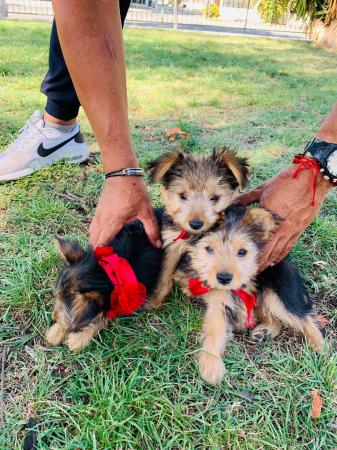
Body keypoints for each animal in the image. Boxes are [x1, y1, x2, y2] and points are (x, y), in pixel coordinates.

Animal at [45, 211, 163, 352]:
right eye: (56, 297)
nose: (53, 317)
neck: (106, 272)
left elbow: (103, 315)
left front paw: (78, 338)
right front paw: (57, 331)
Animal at [146, 149, 248, 312]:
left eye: (215, 198)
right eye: (183, 196)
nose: (195, 224)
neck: (195, 235)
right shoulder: (173, 245)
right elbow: (164, 276)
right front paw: (154, 302)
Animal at [173, 204, 322, 384]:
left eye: (242, 252)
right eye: (209, 249)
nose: (224, 278)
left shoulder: (223, 301)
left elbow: (215, 329)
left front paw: (211, 365)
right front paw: (211, 363)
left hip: (279, 294)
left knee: (305, 318)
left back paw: (322, 349)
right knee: (275, 319)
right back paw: (263, 332)